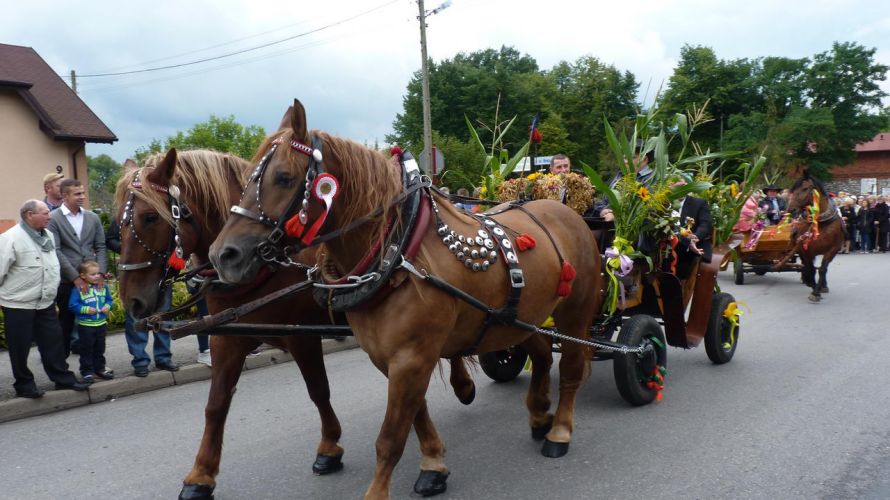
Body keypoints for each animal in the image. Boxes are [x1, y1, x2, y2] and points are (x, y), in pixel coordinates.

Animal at [206, 99, 604, 498]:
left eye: (285, 177)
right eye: (246, 179)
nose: (224, 255)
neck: (398, 255)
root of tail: (565, 211)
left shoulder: (412, 357)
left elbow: (390, 437)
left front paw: (379, 490)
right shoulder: (390, 358)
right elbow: (416, 415)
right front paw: (433, 464)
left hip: (575, 313)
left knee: (571, 367)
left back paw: (559, 431)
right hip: (522, 319)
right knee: (542, 355)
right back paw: (538, 414)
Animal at [776, 172, 840, 300]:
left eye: (805, 188)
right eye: (793, 190)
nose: (790, 209)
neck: (821, 223)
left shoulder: (833, 249)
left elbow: (823, 269)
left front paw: (817, 290)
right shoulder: (806, 250)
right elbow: (811, 269)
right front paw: (814, 290)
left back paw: (821, 285)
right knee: (806, 265)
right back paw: (808, 281)